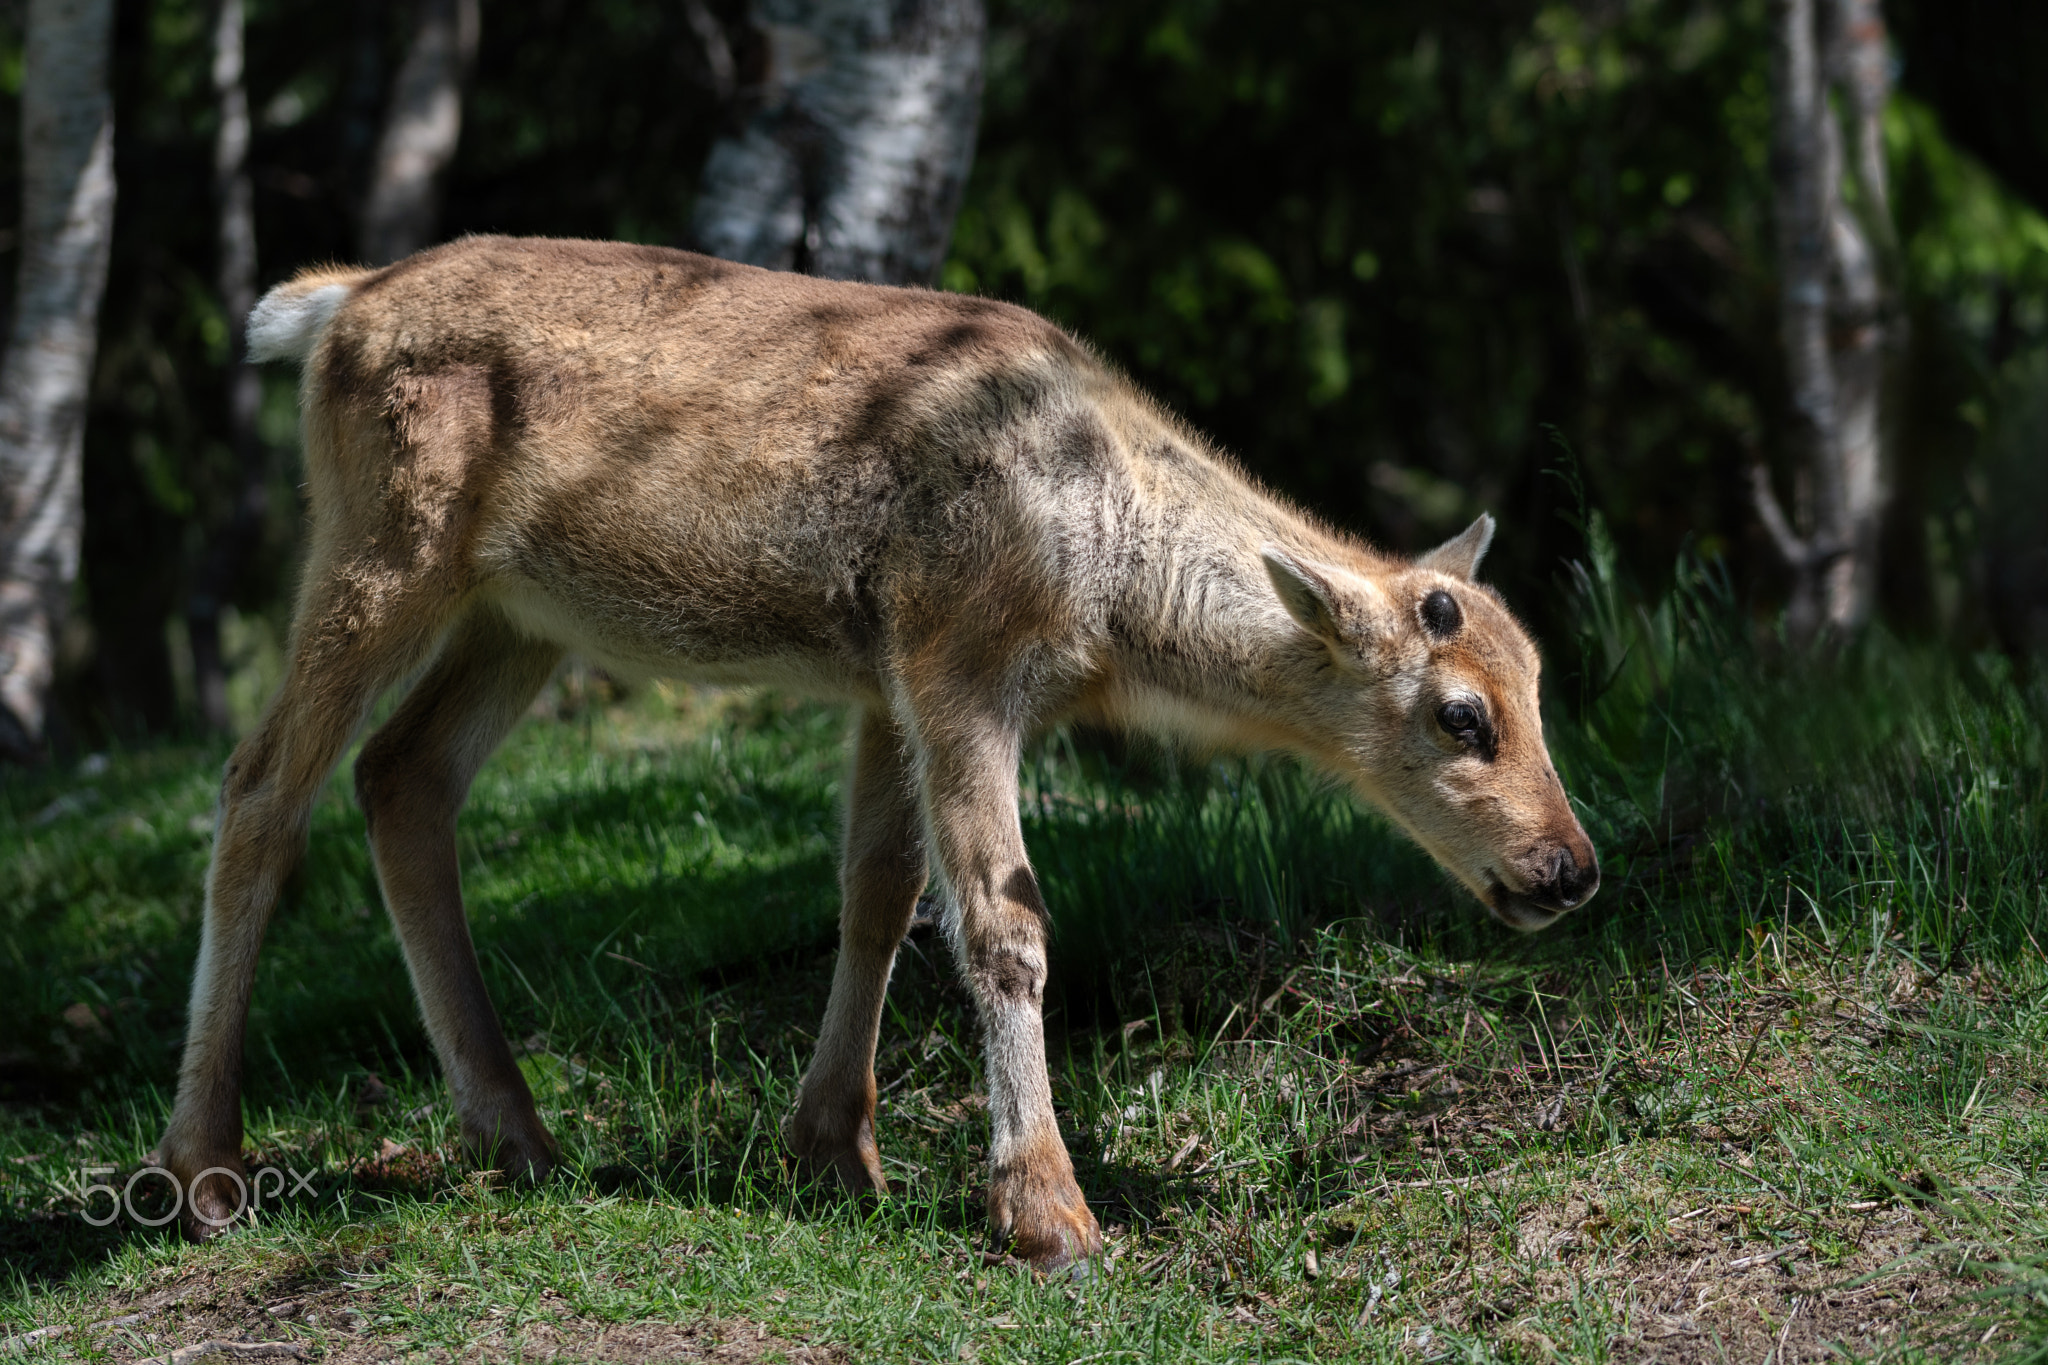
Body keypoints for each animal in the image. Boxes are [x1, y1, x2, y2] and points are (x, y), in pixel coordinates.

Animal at [157, 235, 1598, 1269]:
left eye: (1540, 684)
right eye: (1459, 715)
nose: (1569, 868)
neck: (1105, 585)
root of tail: (333, 308)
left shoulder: (880, 680)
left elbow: (876, 891)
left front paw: (835, 1151)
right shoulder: (955, 657)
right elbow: (1002, 917)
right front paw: (1047, 1211)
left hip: (517, 615)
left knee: (401, 776)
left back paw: (515, 1135)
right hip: (382, 541)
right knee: (259, 787)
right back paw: (204, 1171)